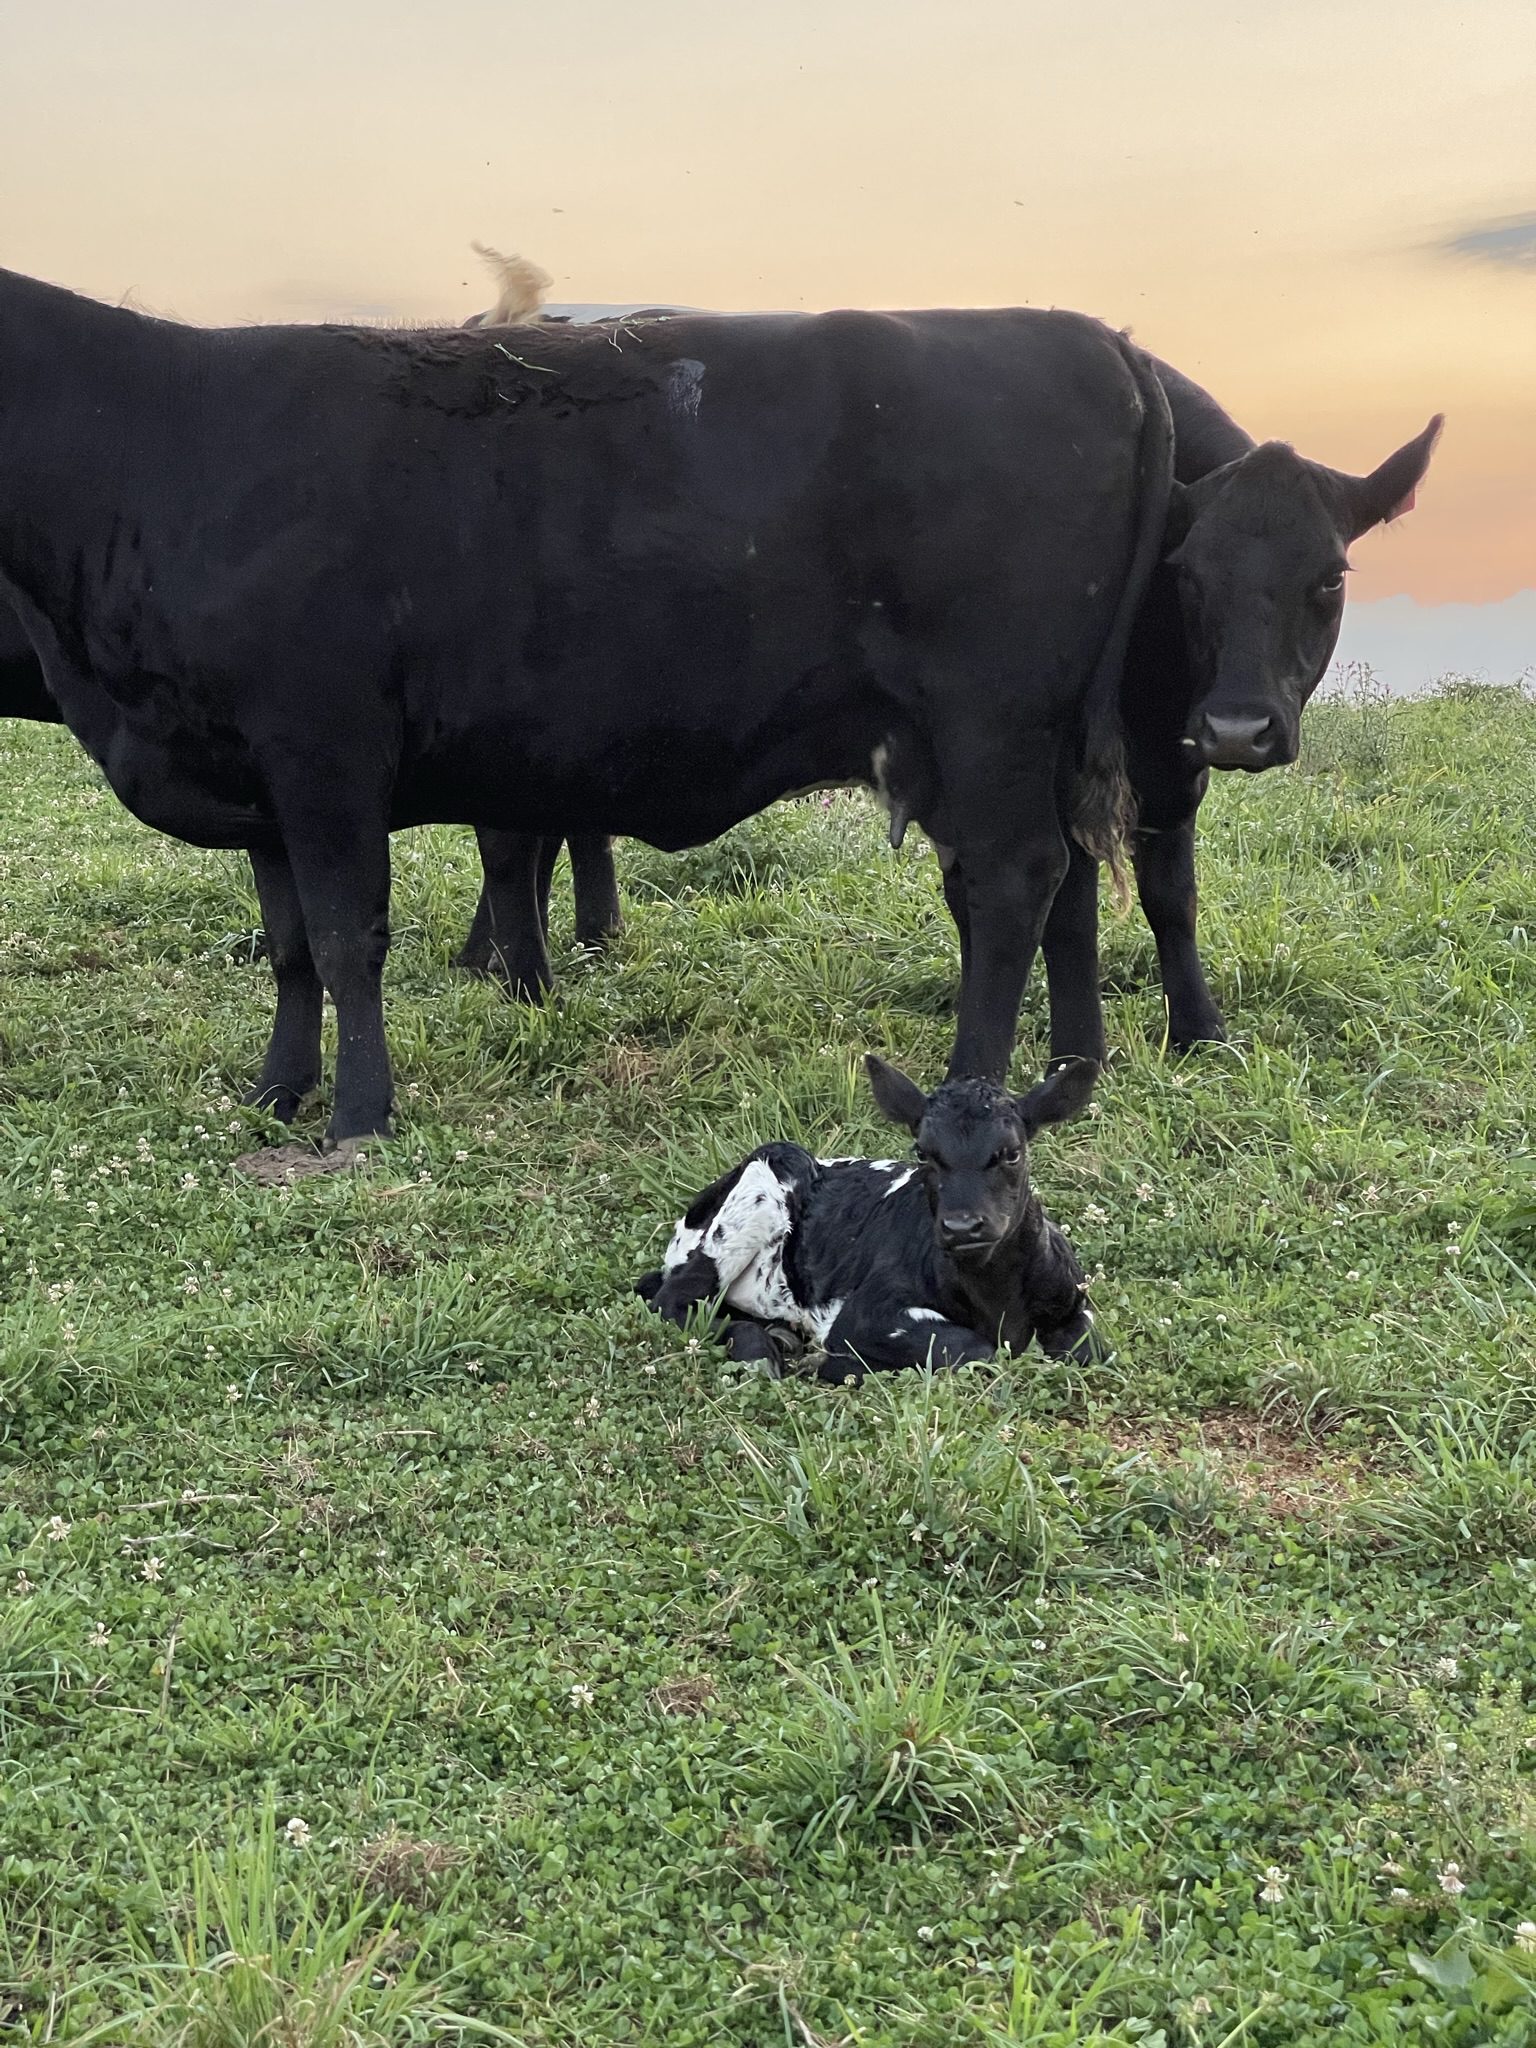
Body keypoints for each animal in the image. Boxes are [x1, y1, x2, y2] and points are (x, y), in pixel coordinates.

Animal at [0, 265, 1177, 1145]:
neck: (167, 449)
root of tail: (1086, 336)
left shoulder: (325, 752)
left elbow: (345, 940)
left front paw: (359, 1113)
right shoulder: (253, 774)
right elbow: (291, 948)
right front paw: (276, 1092)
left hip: (991, 724)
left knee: (1011, 881)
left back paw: (968, 1087)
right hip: (1006, 743)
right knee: (1044, 887)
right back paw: (1062, 1073)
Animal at [638, 1052, 1100, 1380]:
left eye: (1012, 1153)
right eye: (923, 1153)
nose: (962, 1225)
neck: (995, 1299)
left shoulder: (1073, 1301)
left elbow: (1091, 1350)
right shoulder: (864, 1317)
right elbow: (971, 1349)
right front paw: (833, 1365)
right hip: (765, 1180)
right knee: (672, 1299)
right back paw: (761, 1351)